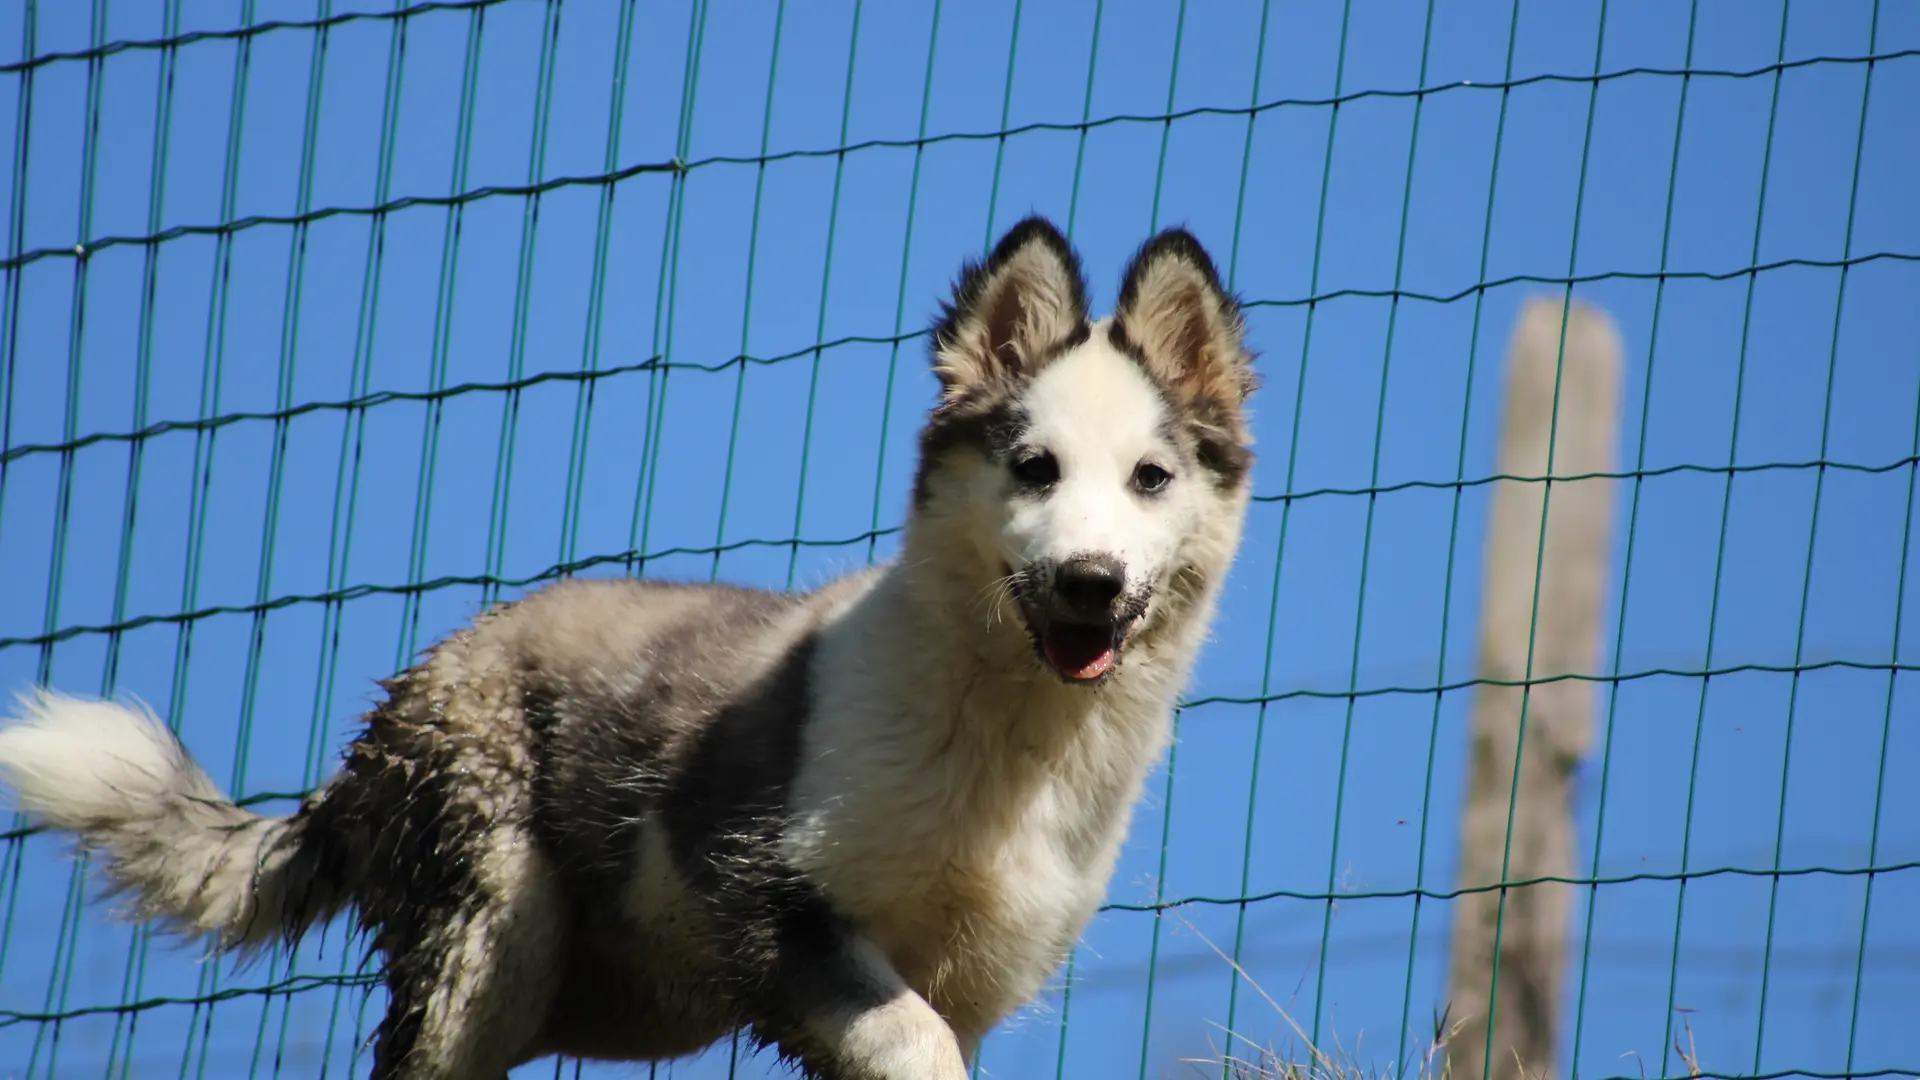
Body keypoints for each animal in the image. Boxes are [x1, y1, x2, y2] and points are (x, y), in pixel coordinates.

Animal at [0, 214, 1259, 1068]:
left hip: (615, 995)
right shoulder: (770, 900)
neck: (1003, 732)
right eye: (1033, 468)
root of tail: (393, 711)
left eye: (1150, 479)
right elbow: (910, 1042)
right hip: (489, 935)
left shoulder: (972, 979)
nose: (1091, 582)